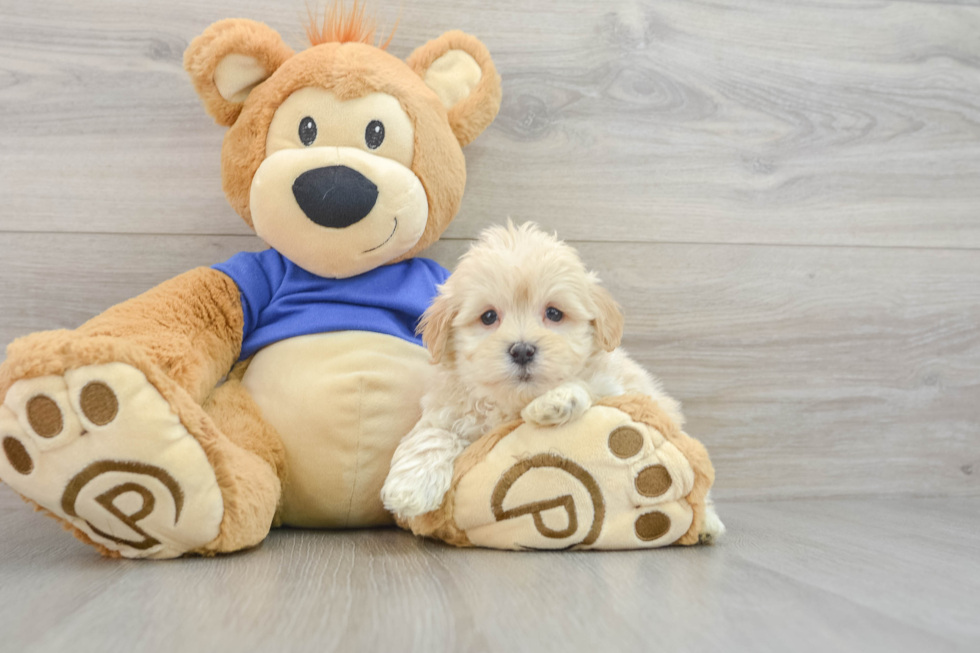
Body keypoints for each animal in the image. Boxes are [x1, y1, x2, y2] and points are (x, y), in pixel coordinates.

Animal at [378, 222, 724, 536]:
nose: (522, 350)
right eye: (488, 317)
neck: (511, 404)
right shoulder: (449, 410)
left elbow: (587, 383)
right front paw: (409, 489)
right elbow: (432, 434)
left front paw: (555, 401)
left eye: (554, 313)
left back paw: (707, 524)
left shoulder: (612, 384)